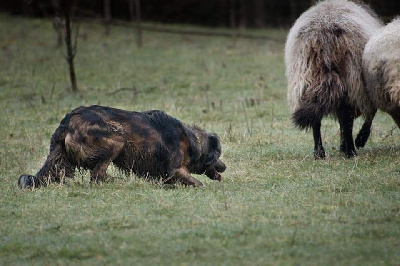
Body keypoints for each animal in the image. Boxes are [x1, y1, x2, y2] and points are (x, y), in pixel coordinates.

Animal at [18, 105, 225, 188]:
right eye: (217, 156)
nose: (224, 166)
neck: (192, 141)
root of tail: (66, 122)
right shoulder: (175, 169)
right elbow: (197, 182)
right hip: (117, 138)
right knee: (97, 175)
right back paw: (118, 181)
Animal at [284, 0, 384, 158]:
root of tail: (323, 33)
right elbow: (368, 115)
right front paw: (359, 140)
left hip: (305, 79)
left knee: (317, 118)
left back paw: (319, 152)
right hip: (352, 79)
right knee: (347, 117)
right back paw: (350, 151)